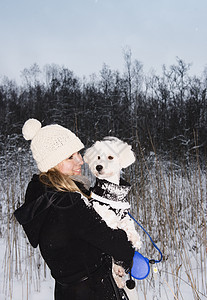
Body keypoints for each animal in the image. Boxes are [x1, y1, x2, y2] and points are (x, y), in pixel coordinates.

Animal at [83, 137, 142, 298]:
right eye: (98, 157)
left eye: (110, 157)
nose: (98, 167)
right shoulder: (105, 218)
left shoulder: (123, 215)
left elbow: (128, 224)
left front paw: (136, 239)